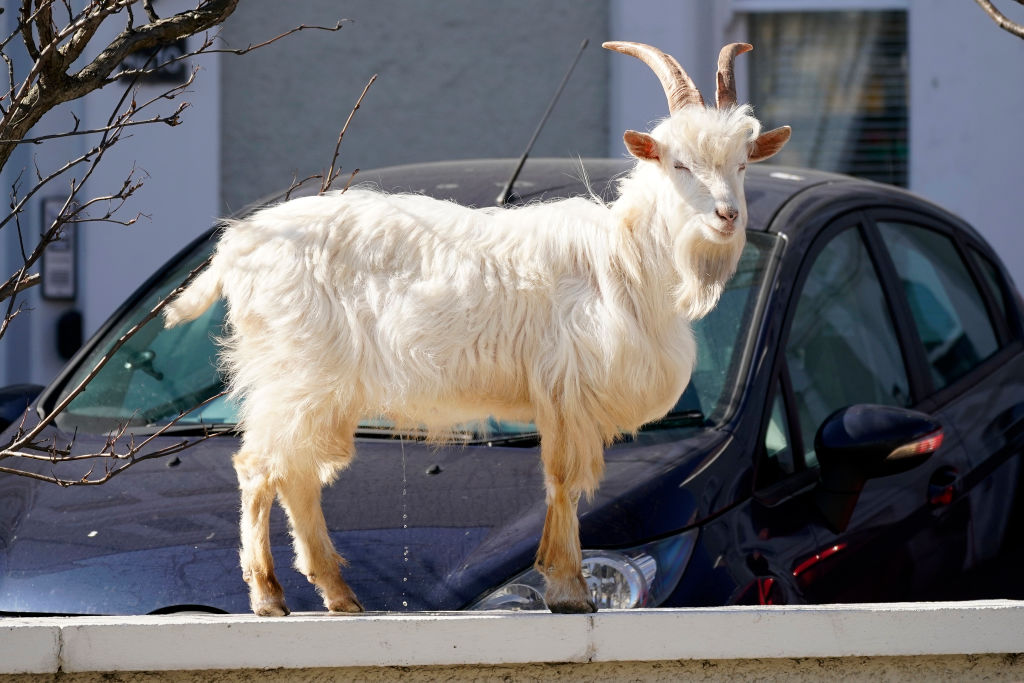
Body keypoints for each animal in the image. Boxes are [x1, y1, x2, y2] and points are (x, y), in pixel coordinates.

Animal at [163, 41, 790, 615]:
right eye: (678, 164)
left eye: (742, 162)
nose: (727, 215)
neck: (627, 258)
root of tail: (236, 246)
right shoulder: (567, 389)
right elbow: (564, 481)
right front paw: (570, 589)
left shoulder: (559, 396)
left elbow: (557, 482)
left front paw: (561, 583)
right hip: (296, 371)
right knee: (259, 466)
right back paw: (269, 596)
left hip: (320, 387)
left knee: (294, 472)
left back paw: (337, 594)